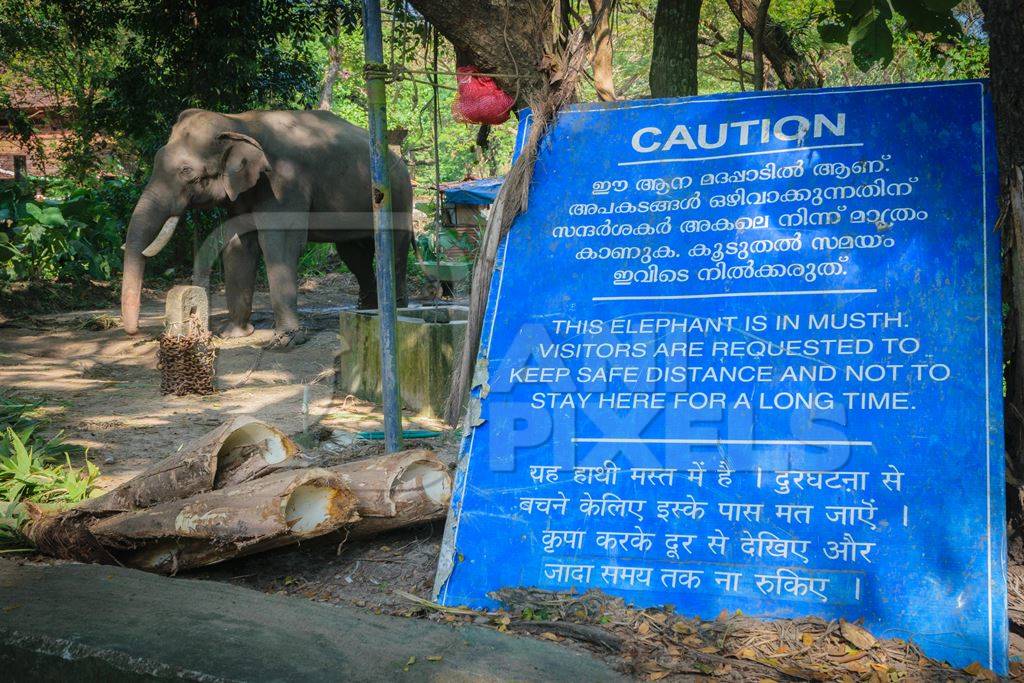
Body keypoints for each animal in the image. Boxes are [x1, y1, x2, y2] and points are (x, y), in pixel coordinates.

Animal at [123, 109, 415, 344]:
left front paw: (286, 340)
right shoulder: (243, 193)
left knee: (394, 245)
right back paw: (367, 309)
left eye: (187, 172)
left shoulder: (285, 182)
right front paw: (234, 334)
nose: (137, 332)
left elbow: (279, 243)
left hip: (398, 194)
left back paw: (398, 310)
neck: (239, 122)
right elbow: (239, 246)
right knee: (353, 253)